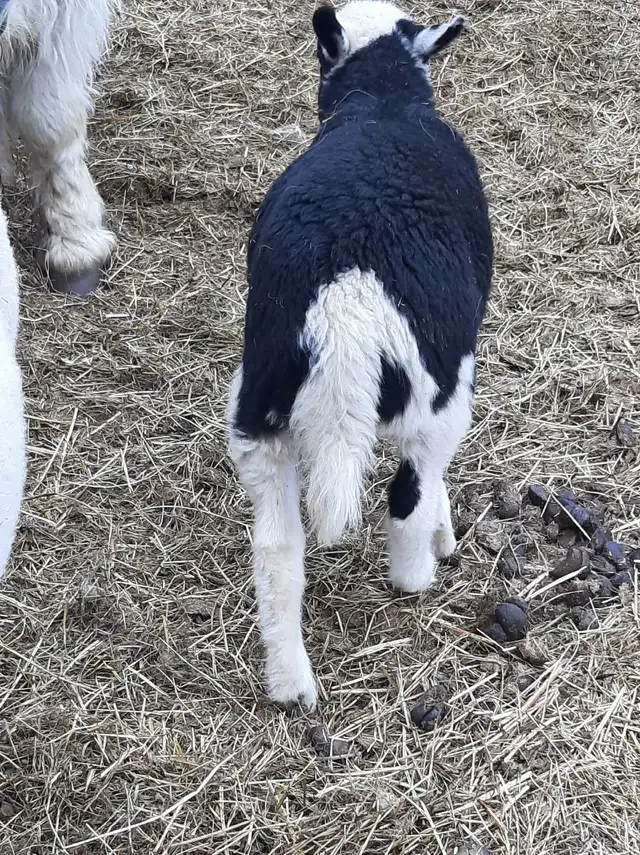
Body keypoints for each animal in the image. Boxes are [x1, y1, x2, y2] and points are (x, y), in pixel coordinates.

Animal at [227, 0, 493, 710]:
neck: (382, 104)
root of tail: (343, 302)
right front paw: (445, 532)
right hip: (437, 398)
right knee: (407, 494)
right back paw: (419, 571)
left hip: (257, 413)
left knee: (278, 550)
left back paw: (290, 682)